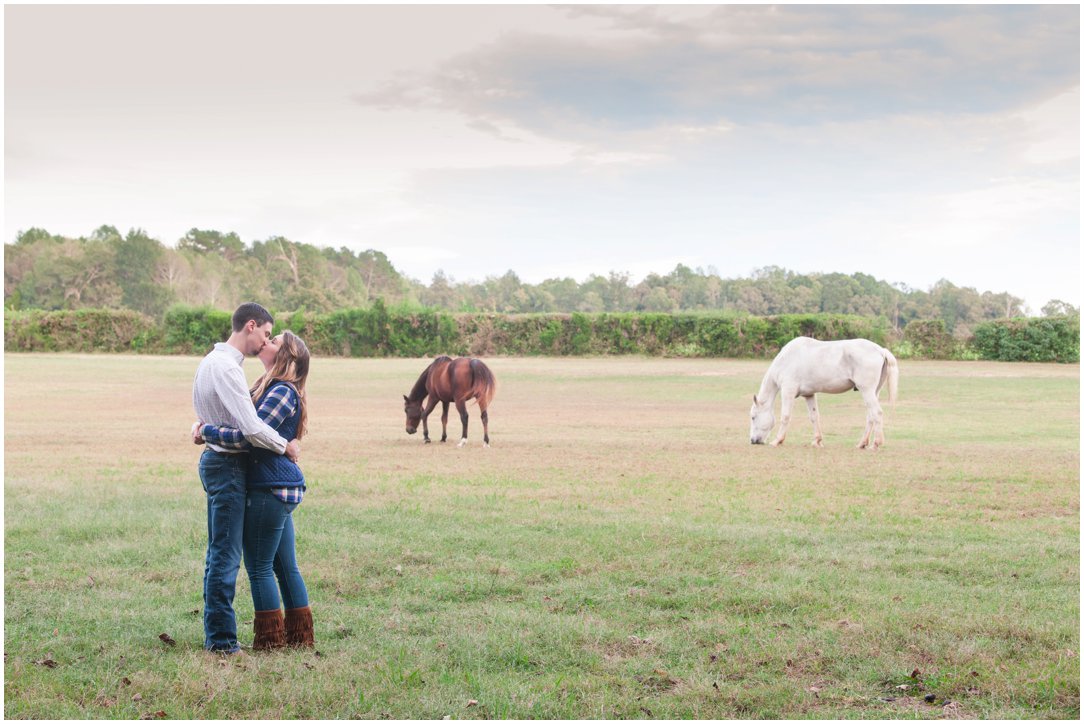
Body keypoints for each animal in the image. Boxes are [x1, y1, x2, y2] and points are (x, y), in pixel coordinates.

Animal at [754, 338, 897, 448]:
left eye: (753, 417)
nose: (753, 440)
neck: (786, 360)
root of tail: (880, 350)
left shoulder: (788, 392)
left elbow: (785, 416)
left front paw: (777, 441)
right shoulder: (809, 395)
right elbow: (814, 416)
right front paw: (817, 441)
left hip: (866, 390)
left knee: (877, 413)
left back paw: (876, 443)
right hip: (874, 392)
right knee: (870, 416)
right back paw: (862, 443)